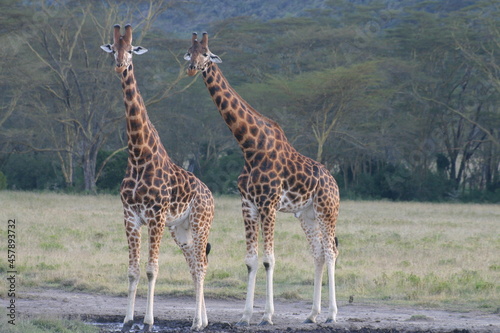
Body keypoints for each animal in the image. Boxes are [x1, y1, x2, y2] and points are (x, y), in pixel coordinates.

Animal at [101, 25, 213, 330]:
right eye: (113, 49)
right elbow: (132, 270)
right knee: (194, 265)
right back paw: (202, 321)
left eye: (131, 49)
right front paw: (127, 320)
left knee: (201, 265)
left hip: (200, 224)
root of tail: (210, 195)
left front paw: (149, 322)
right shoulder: (130, 216)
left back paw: (197, 323)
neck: (139, 156)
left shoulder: (156, 217)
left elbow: (152, 269)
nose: (119, 65)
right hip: (180, 230)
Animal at [184, 33, 340, 324]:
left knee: (331, 252)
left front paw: (267, 315)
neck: (250, 147)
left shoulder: (268, 204)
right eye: (189, 51)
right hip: (307, 214)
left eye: (207, 54)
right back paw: (312, 314)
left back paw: (332, 315)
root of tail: (334, 182)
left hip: (327, 210)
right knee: (318, 253)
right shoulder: (248, 205)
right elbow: (251, 260)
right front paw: (245, 316)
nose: (191, 68)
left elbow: (269, 259)